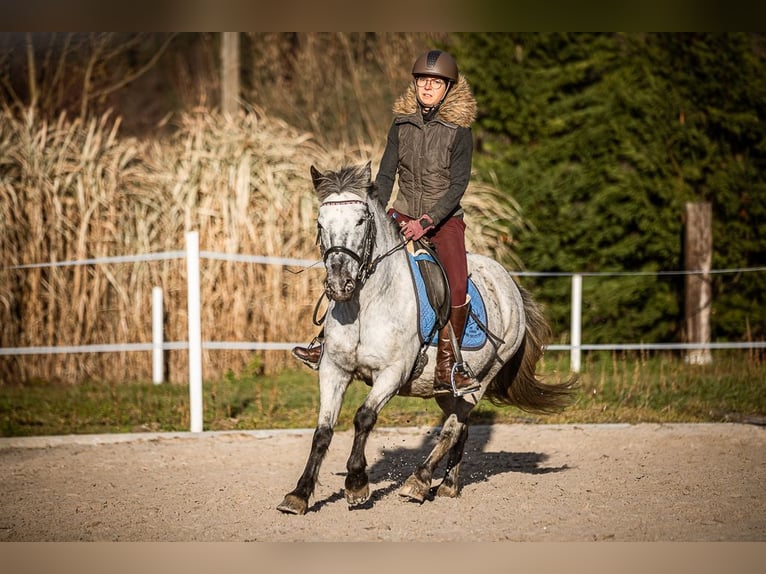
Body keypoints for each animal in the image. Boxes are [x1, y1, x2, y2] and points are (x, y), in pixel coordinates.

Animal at [278, 163, 576, 516]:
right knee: (460, 427)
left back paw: (417, 482)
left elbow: (363, 417)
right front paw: (299, 494)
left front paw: (357, 485)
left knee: (452, 428)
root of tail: (510, 283)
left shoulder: (393, 373)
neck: (367, 305)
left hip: (483, 378)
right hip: (445, 388)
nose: (339, 285)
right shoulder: (333, 370)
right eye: (320, 223)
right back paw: (447, 485)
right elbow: (322, 431)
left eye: (361, 220)